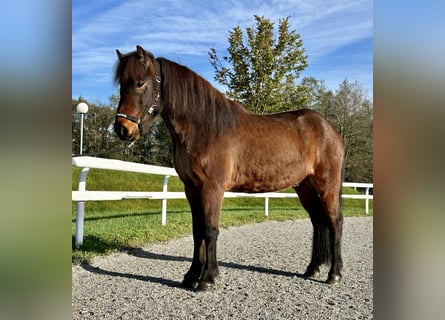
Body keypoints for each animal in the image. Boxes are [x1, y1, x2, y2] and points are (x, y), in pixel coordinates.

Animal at [112, 45, 344, 292]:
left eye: (140, 83)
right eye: (121, 84)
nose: (122, 129)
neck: (204, 128)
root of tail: (329, 128)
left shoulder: (212, 188)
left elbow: (210, 230)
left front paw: (207, 278)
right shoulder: (191, 189)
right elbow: (197, 231)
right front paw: (191, 276)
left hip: (327, 183)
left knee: (334, 221)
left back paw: (334, 274)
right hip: (304, 186)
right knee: (318, 221)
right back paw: (312, 269)